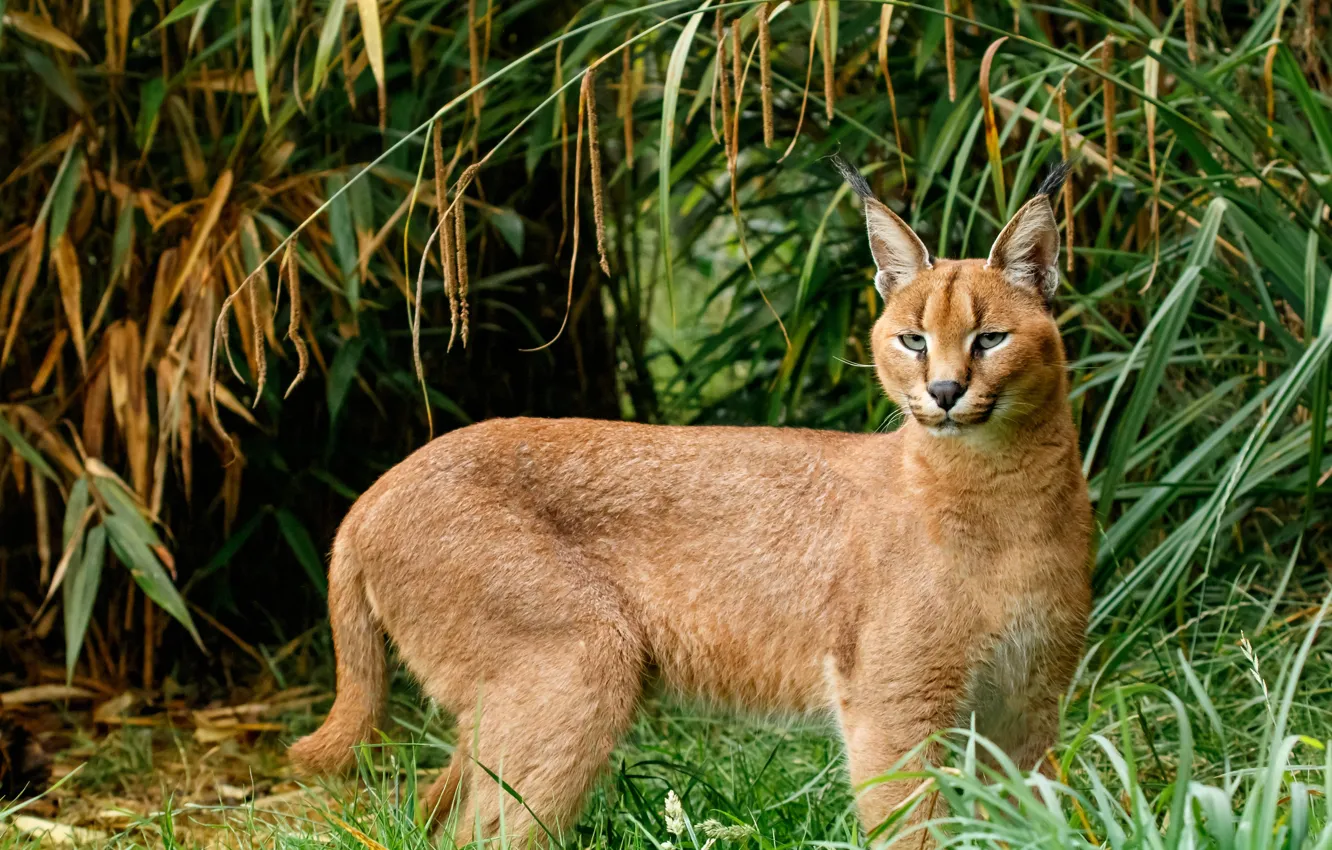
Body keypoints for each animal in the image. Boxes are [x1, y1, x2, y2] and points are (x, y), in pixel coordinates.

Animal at [291, 158, 1092, 847]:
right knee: (482, 832)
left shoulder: (1027, 706)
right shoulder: (894, 707)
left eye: (991, 338)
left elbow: (1028, 822)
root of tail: (373, 493)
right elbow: (915, 829)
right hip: (578, 666)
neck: (1004, 491)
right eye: (912, 340)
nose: (947, 391)